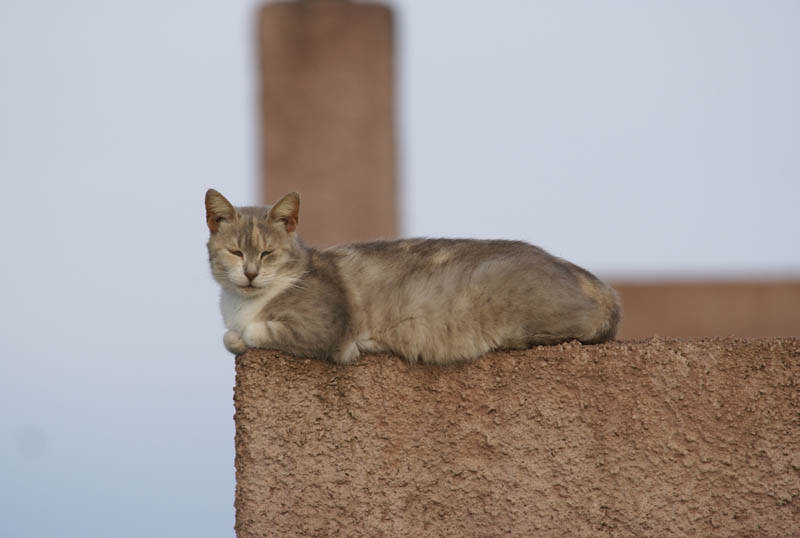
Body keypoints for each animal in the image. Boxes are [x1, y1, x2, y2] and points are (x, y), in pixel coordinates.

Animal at [205, 188, 620, 364]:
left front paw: (242, 333)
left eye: (267, 253)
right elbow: (229, 336)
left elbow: (250, 331)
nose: (251, 273)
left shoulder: (324, 328)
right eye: (236, 252)